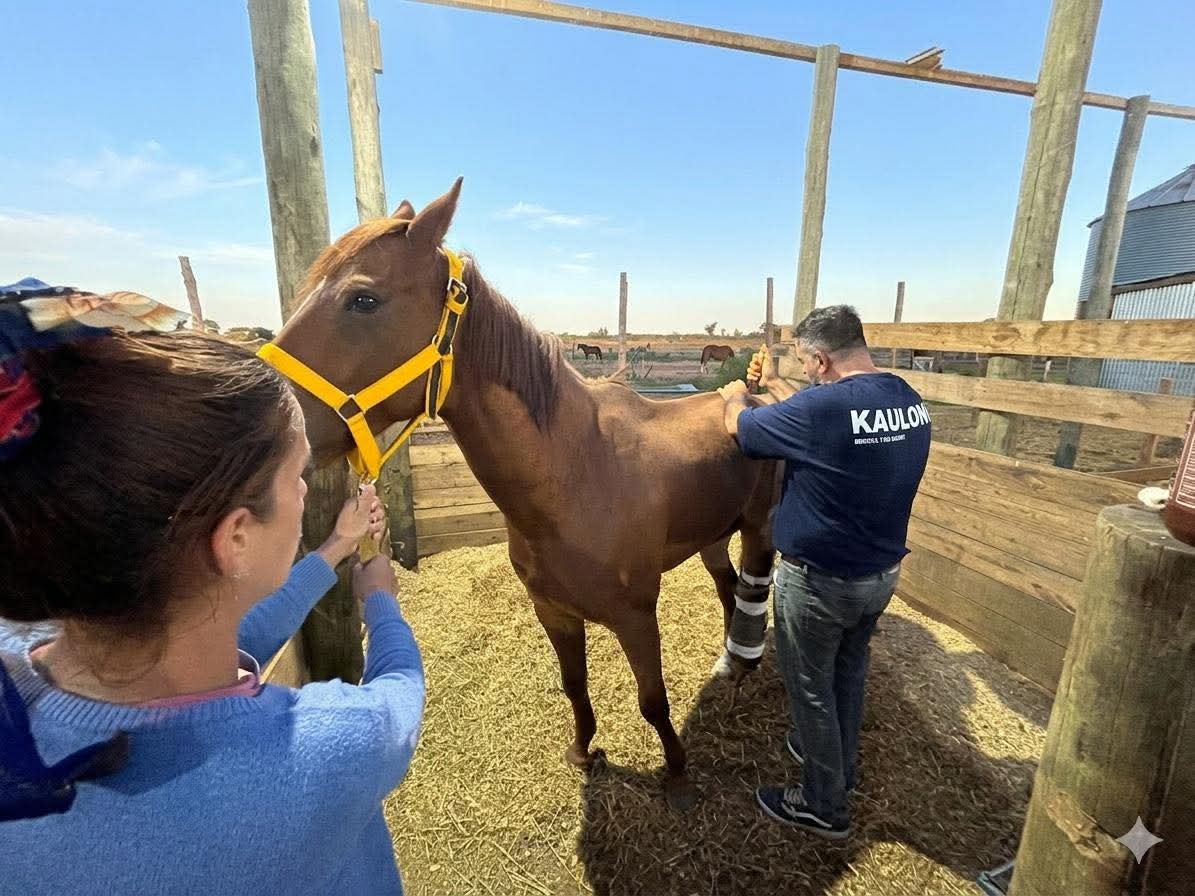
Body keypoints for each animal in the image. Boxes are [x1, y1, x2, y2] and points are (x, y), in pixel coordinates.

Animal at [273, 180, 778, 811]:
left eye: (362, 299)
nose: (270, 411)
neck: (577, 474)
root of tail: (757, 398)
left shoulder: (637, 617)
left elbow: (652, 700)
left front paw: (679, 777)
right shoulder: (553, 611)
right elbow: (574, 684)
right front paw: (584, 750)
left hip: (758, 531)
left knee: (750, 592)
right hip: (711, 537)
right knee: (728, 591)